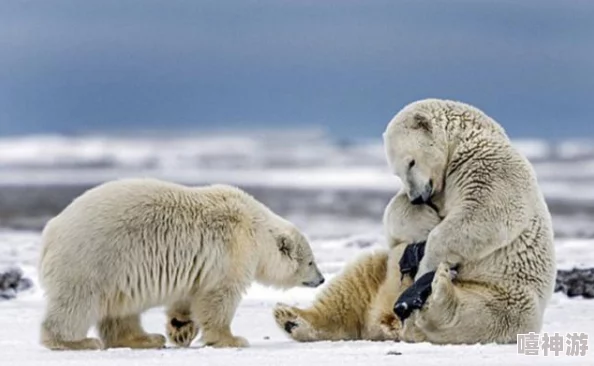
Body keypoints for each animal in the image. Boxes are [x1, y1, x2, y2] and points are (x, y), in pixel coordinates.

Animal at [37, 179, 324, 350]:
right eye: (311, 261)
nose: (321, 279)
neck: (255, 227)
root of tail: (50, 231)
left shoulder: (202, 264)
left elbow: (190, 294)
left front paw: (180, 328)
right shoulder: (233, 250)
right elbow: (219, 297)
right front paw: (231, 338)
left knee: (120, 310)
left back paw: (146, 339)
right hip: (92, 259)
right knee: (76, 303)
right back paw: (77, 342)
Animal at [384, 97, 556, 344]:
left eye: (411, 162)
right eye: (397, 173)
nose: (417, 198)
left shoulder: (485, 164)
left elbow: (485, 213)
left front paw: (428, 262)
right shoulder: (438, 190)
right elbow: (395, 211)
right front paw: (424, 222)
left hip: (512, 292)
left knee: (486, 315)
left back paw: (437, 292)